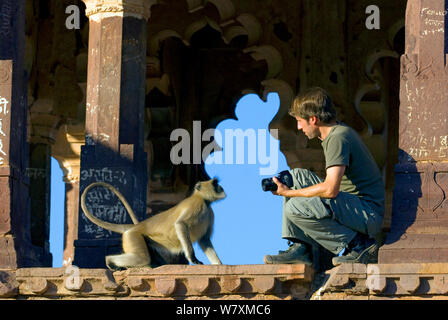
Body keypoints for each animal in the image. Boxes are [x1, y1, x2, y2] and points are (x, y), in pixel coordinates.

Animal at [80, 179, 226, 268]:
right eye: (215, 183)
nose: (221, 187)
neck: (203, 200)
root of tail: (138, 226)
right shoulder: (195, 205)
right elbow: (180, 224)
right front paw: (192, 258)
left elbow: (204, 240)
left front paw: (219, 264)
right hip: (133, 236)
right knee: (142, 258)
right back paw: (109, 260)